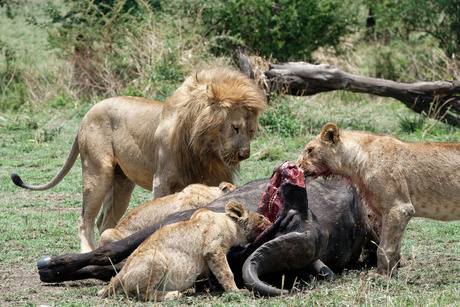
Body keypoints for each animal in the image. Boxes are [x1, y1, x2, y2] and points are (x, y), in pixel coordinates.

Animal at [97, 203, 270, 302]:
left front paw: (208, 288)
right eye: (261, 216)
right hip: (156, 258)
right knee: (139, 293)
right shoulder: (213, 248)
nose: (270, 221)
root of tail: (118, 276)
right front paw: (236, 291)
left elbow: (204, 275)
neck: (230, 222)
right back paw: (172, 295)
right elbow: (226, 272)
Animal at [296, 123, 460, 280]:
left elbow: (386, 247)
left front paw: (381, 276)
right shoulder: (382, 213)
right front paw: (391, 272)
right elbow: (388, 244)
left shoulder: (399, 207)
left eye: (310, 150)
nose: (296, 166)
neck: (356, 162)